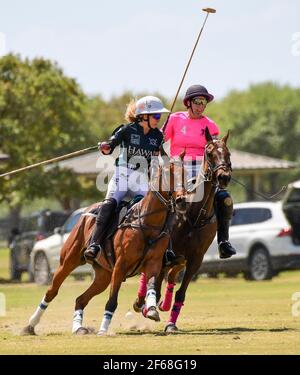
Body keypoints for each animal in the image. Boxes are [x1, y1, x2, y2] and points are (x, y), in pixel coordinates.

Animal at [23, 148, 186, 336]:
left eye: (186, 172)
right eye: (168, 172)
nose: (181, 201)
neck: (147, 222)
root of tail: (86, 211)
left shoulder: (154, 262)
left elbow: (152, 285)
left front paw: (151, 309)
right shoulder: (120, 265)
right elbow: (112, 301)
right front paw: (103, 329)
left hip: (103, 275)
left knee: (80, 299)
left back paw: (78, 328)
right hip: (68, 261)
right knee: (51, 291)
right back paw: (30, 325)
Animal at [134, 129, 232, 332]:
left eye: (228, 153)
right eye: (209, 152)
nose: (224, 177)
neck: (194, 215)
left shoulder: (196, 259)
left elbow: (181, 292)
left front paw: (171, 323)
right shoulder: (165, 253)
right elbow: (154, 282)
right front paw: (147, 308)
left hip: (181, 258)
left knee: (171, 275)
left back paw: (163, 304)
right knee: (153, 275)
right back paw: (142, 302)